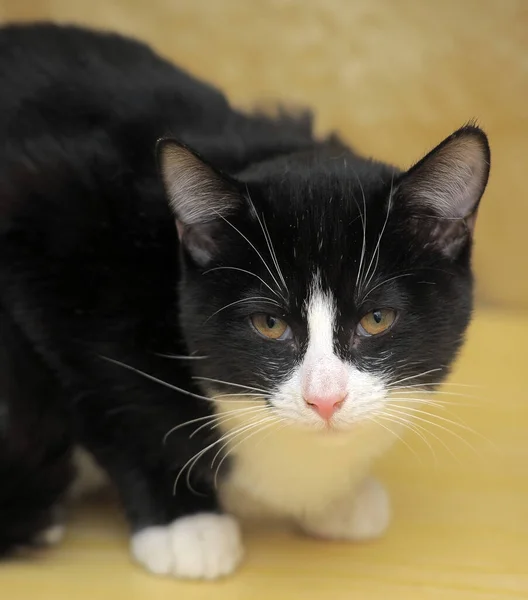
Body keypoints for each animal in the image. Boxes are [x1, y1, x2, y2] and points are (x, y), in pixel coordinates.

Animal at [0, 24, 488, 580]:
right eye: (269, 323)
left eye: (377, 318)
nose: (325, 400)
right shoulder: (49, 236)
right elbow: (109, 393)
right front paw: (183, 521)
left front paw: (334, 495)